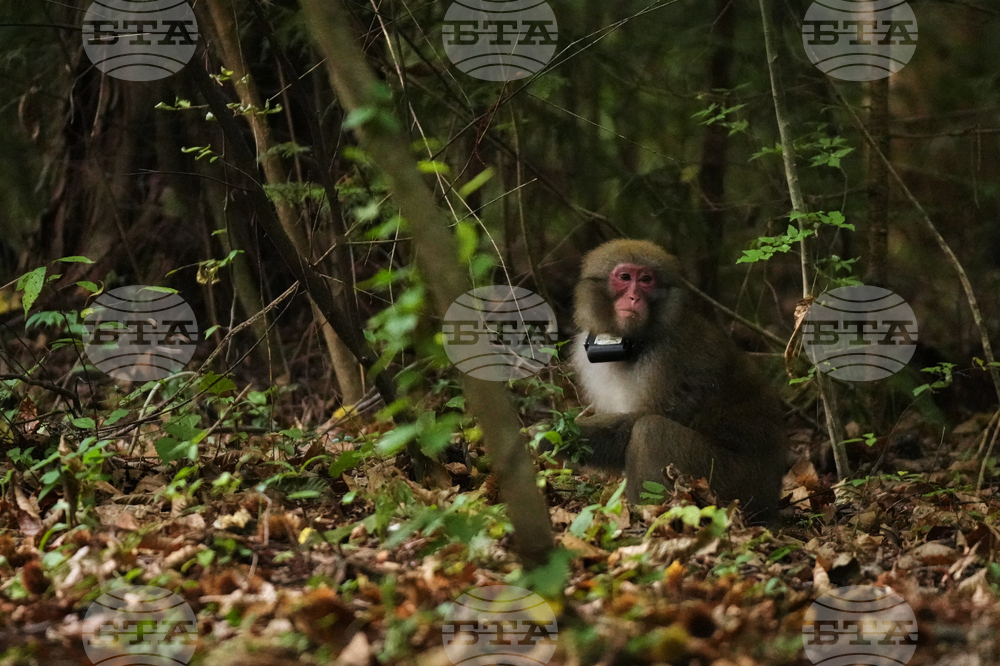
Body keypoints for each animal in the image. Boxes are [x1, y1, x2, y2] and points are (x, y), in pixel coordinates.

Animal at [570, 239, 786, 521]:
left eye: (646, 280)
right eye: (625, 277)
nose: (634, 297)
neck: (637, 342)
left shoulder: (669, 355)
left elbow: (638, 421)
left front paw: (556, 434)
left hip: (730, 484)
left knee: (650, 430)